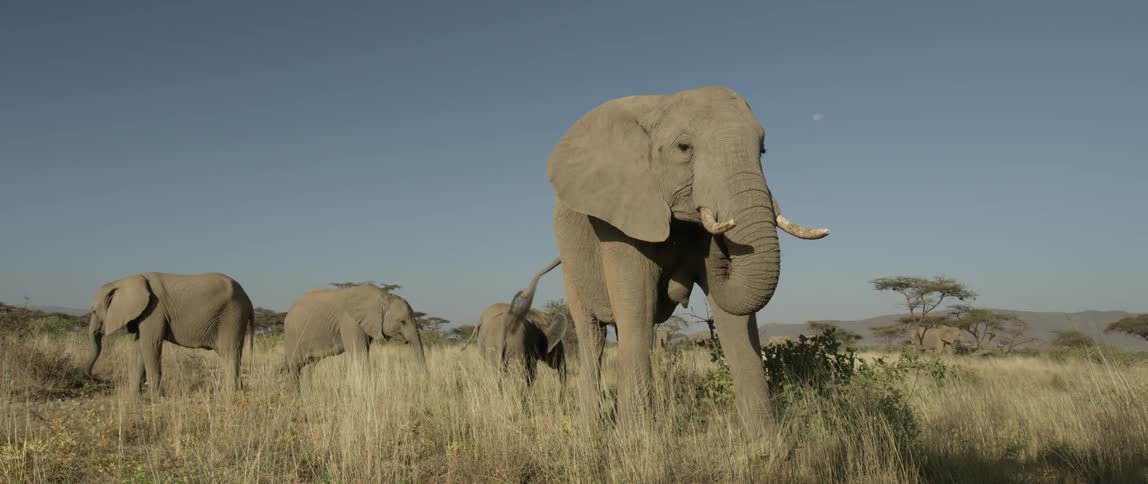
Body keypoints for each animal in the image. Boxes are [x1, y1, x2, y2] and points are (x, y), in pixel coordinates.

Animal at [84, 272, 255, 395]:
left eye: (94, 311)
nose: (93, 378)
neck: (125, 281)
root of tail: (248, 299)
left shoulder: (154, 311)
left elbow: (150, 345)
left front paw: (153, 396)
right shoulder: (145, 313)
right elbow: (139, 348)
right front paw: (133, 396)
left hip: (232, 316)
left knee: (229, 352)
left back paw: (229, 392)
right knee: (234, 353)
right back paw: (237, 390)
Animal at [283, 284, 425, 390]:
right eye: (403, 322)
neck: (382, 297)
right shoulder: (349, 321)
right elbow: (360, 354)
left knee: (309, 367)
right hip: (293, 335)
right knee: (295, 367)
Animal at [469, 258, 568, 388]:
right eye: (558, 346)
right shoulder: (531, 343)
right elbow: (531, 373)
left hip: (490, 346)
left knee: (492, 375)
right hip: (516, 345)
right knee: (517, 376)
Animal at [546, 86, 830, 431]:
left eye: (762, 150)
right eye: (683, 148)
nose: (722, 243)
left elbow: (735, 320)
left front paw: (764, 439)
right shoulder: (620, 216)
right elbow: (638, 309)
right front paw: (638, 438)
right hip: (571, 267)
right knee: (592, 336)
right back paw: (591, 429)